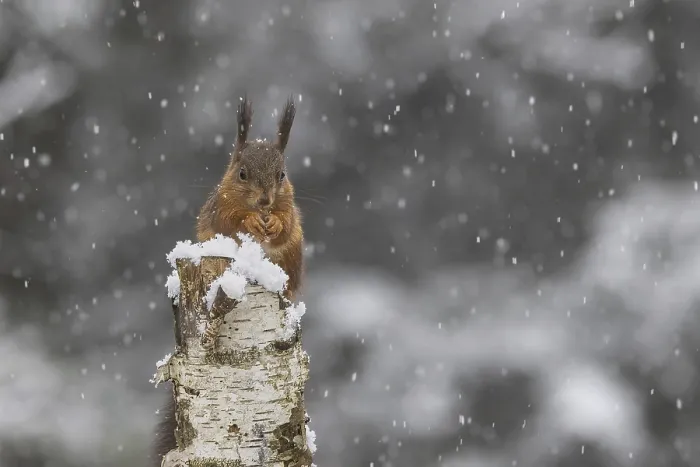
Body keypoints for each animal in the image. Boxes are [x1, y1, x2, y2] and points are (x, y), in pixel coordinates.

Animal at [152, 97, 303, 465]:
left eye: (282, 175)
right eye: (242, 173)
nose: (265, 200)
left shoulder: (291, 210)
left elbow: (286, 227)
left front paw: (274, 224)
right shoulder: (219, 211)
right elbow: (232, 222)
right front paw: (251, 221)